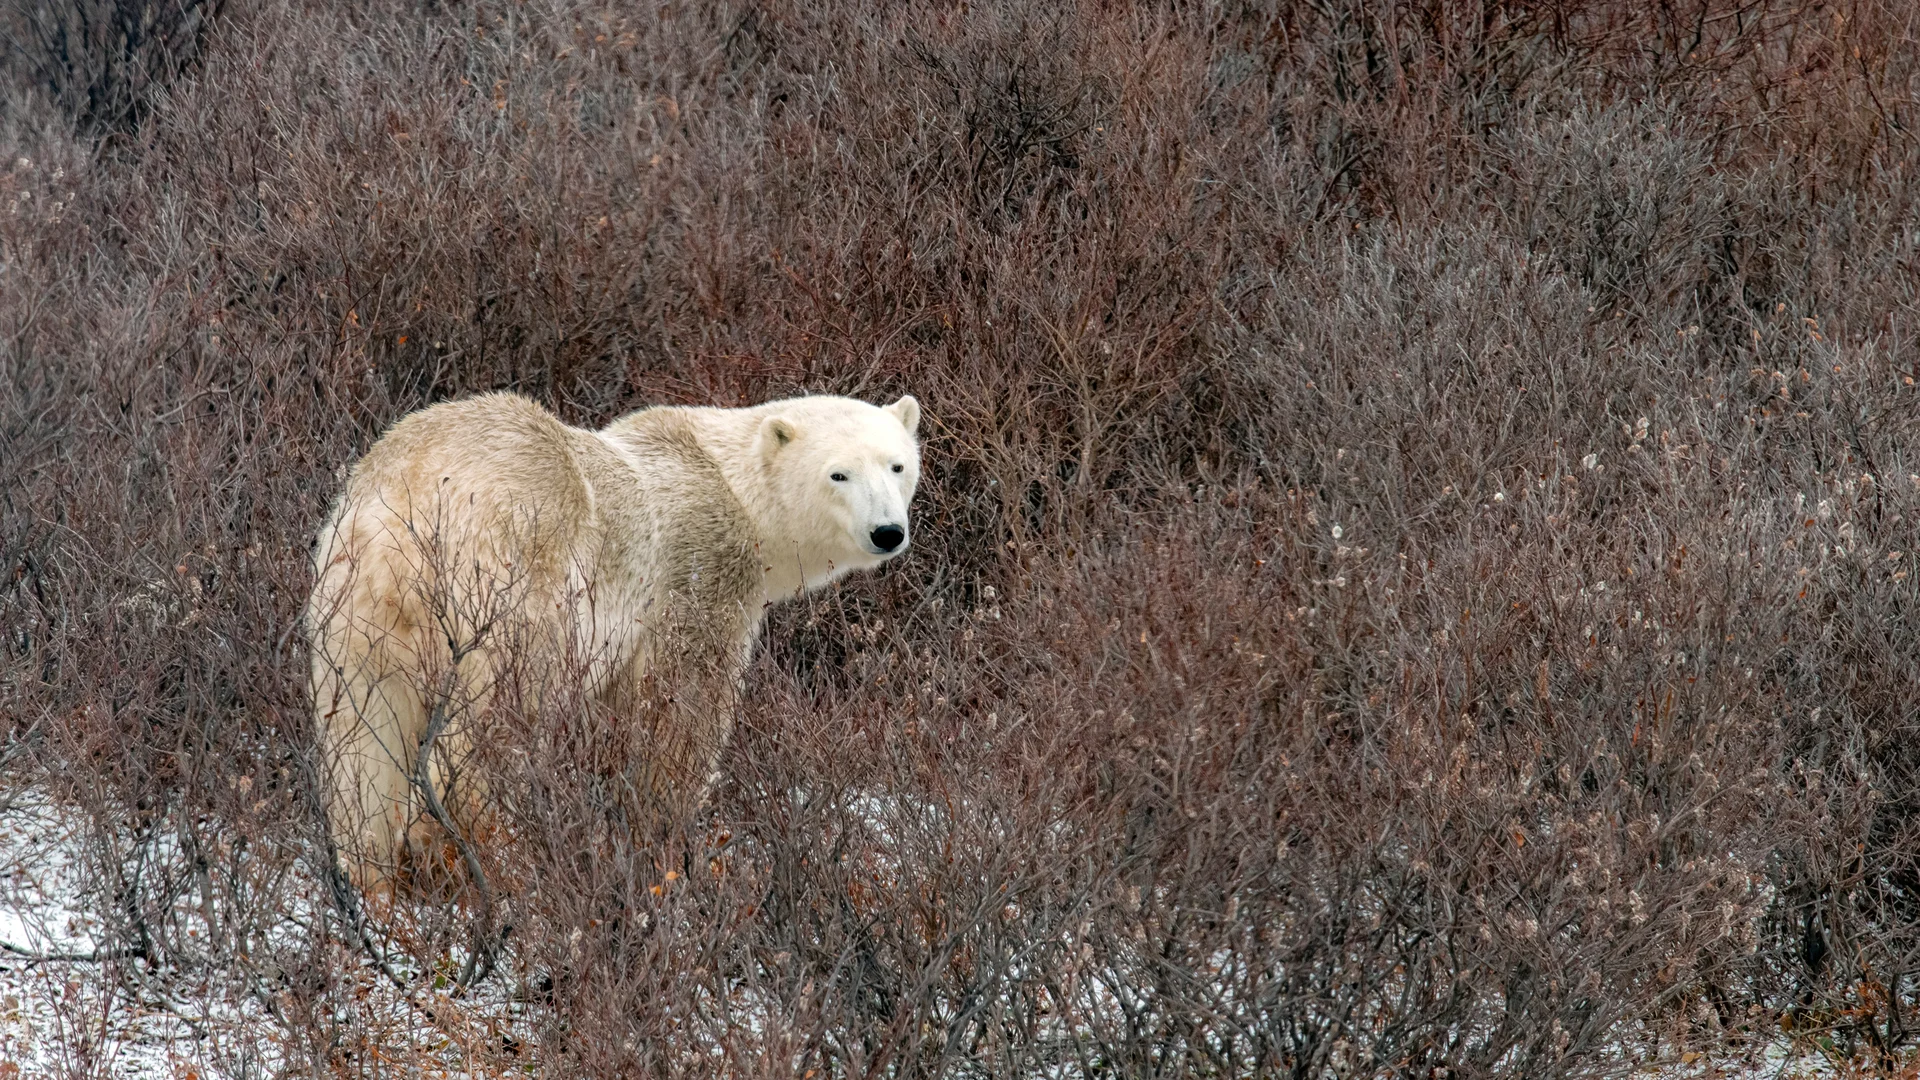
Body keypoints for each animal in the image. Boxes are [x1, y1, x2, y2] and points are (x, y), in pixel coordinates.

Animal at [305, 391, 922, 886]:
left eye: (897, 465)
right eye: (838, 474)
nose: (887, 532)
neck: (731, 487)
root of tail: (403, 510)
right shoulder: (699, 573)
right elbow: (682, 712)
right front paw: (671, 838)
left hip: (353, 609)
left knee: (361, 748)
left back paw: (377, 886)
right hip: (510, 584)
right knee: (493, 719)